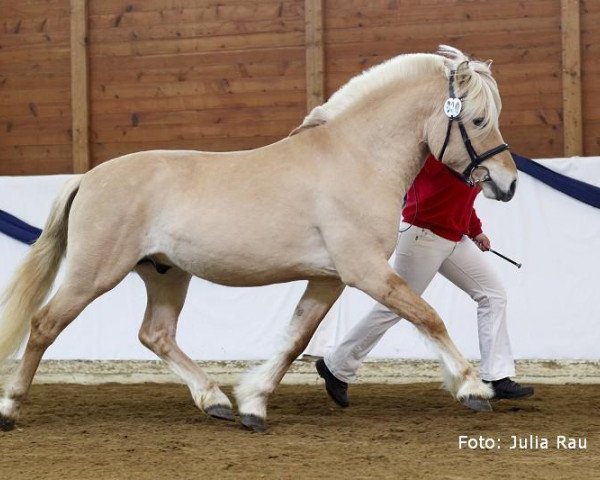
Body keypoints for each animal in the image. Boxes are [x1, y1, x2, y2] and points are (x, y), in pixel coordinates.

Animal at [0, 47, 516, 434]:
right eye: (475, 120)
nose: (507, 184)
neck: (356, 158)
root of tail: (88, 177)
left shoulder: (329, 279)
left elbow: (296, 339)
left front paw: (253, 404)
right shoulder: (366, 271)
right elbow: (427, 316)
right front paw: (474, 388)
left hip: (166, 274)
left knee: (156, 334)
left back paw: (214, 401)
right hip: (94, 274)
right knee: (44, 324)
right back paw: (10, 408)